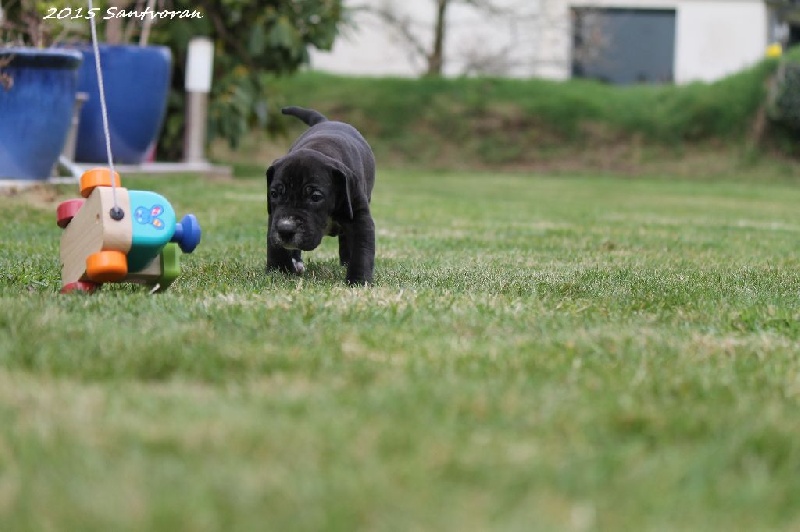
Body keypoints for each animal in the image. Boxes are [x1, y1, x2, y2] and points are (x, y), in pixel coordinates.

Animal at [266, 106, 376, 284]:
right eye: (274, 194)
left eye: (316, 197)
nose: (285, 229)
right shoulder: (274, 217)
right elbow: (275, 247)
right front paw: (279, 271)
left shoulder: (360, 217)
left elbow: (362, 249)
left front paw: (358, 280)